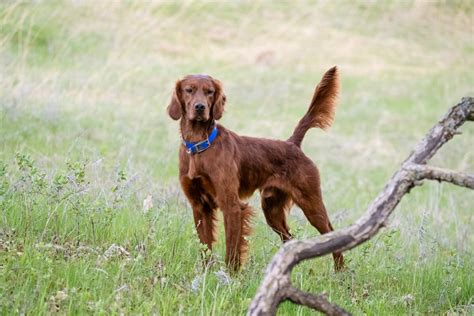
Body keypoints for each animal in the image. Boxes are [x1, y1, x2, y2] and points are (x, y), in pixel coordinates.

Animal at [167, 66, 344, 272]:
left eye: (209, 92)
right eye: (189, 90)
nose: (200, 107)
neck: (199, 145)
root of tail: (292, 144)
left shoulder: (232, 206)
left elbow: (232, 248)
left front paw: (230, 275)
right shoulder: (199, 206)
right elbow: (205, 247)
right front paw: (206, 272)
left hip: (310, 202)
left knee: (332, 233)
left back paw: (340, 272)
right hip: (272, 210)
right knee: (289, 238)